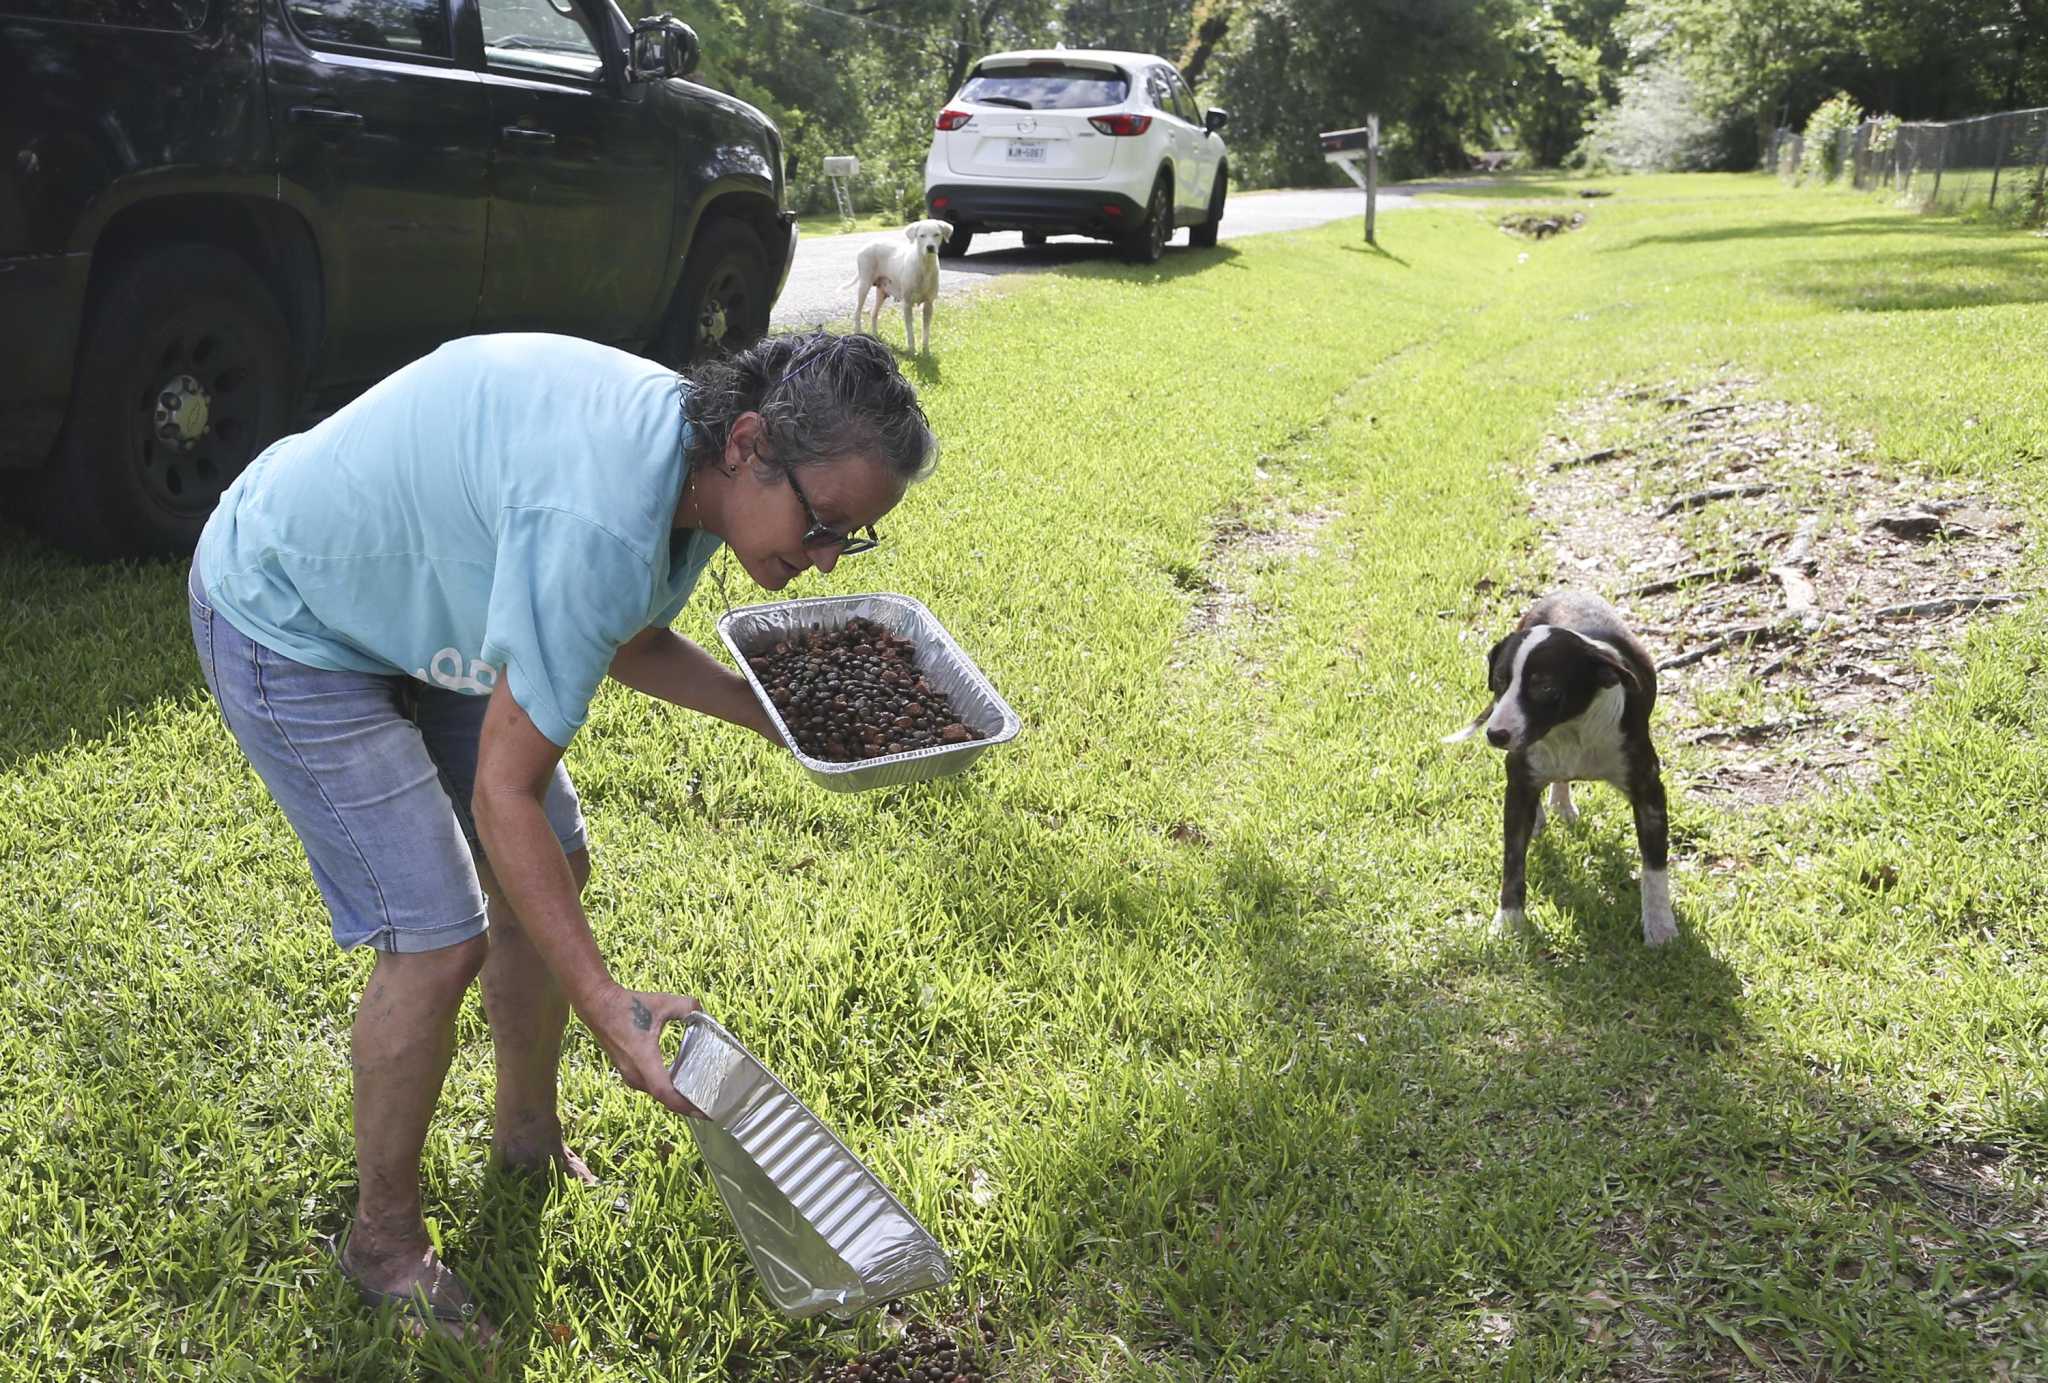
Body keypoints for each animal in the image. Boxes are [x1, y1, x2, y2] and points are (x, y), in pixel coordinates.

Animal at [843, 218, 946, 354]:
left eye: (936, 234)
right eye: (921, 236)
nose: (930, 247)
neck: (924, 266)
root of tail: (867, 245)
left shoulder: (929, 305)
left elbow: (926, 331)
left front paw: (926, 351)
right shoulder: (907, 304)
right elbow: (910, 331)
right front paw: (912, 351)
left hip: (882, 292)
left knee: (873, 313)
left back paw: (875, 336)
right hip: (864, 285)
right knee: (857, 312)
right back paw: (858, 333)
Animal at [1441, 590, 1679, 946]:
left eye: (1545, 688)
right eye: (1499, 681)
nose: (1496, 735)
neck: (1570, 730)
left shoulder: (1648, 790)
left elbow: (1654, 867)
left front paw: (1661, 927)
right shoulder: (1519, 783)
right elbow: (1513, 861)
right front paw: (1508, 922)